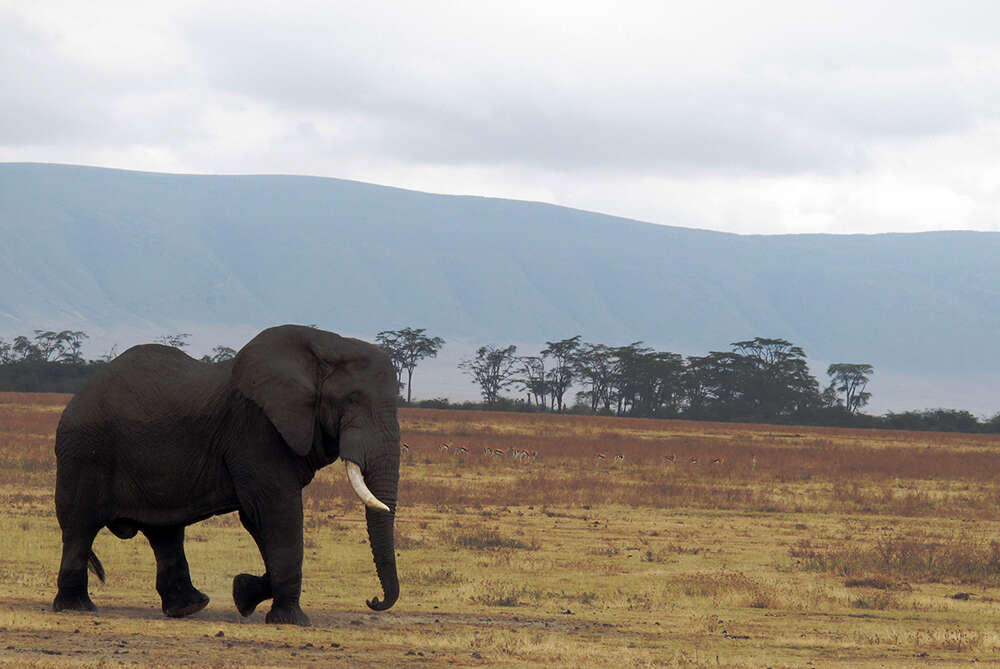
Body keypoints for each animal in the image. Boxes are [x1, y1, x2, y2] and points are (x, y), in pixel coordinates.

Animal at [50, 324, 400, 628]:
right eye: (352, 400)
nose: (373, 600)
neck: (326, 346)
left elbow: (257, 518)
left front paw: (244, 593)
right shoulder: (256, 429)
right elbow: (276, 511)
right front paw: (291, 620)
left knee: (164, 532)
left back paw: (188, 607)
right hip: (84, 453)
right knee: (81, 526)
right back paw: (76, 607)